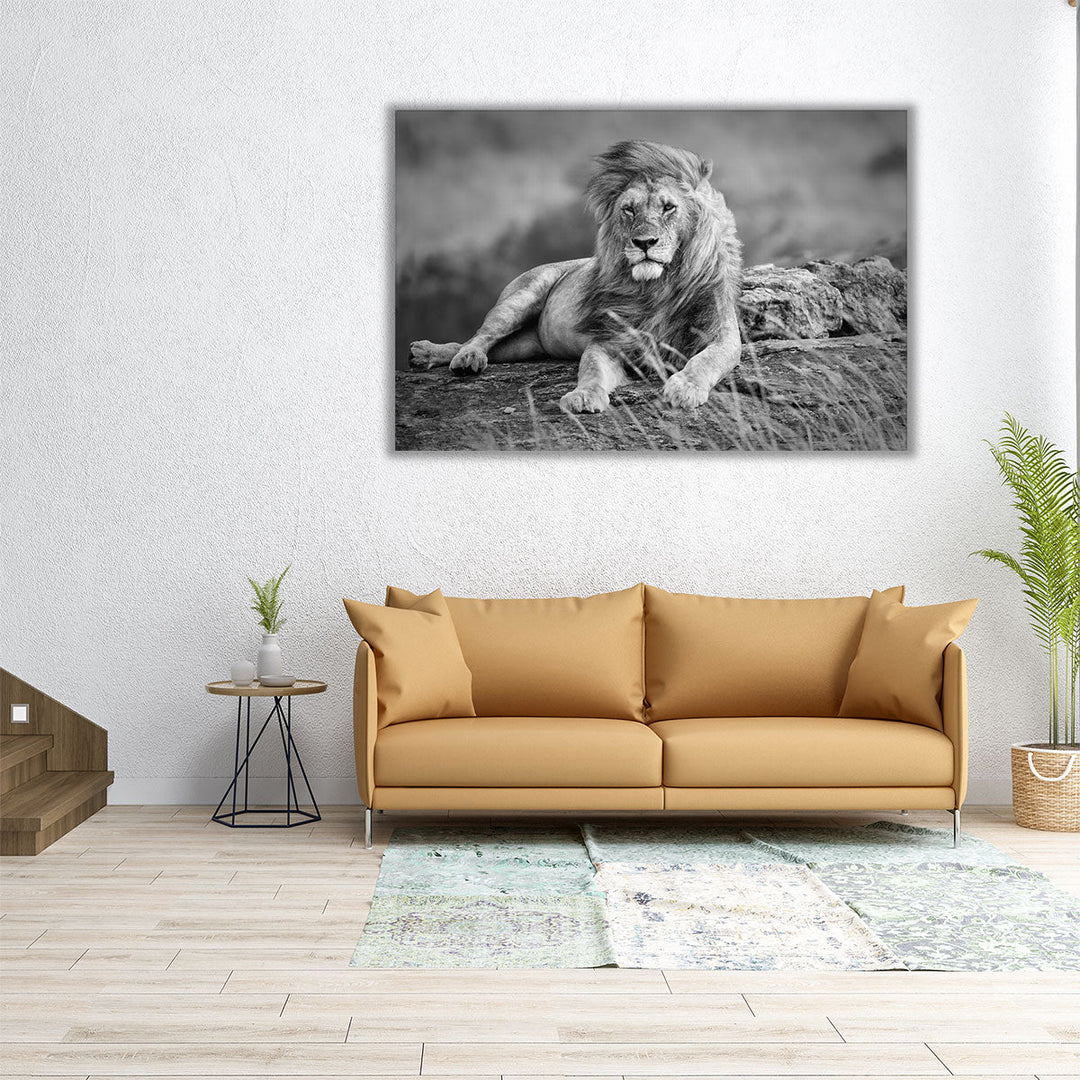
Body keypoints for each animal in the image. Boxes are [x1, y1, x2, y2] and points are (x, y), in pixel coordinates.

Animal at [408, 140, 743, 412]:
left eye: (669, 207)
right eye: (629, 210)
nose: (644, 242)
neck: (658, 286)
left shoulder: (722, 336)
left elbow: (705, 361)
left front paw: (685, 387)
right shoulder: (609, 340)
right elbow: (591, 368)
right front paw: (583, 396)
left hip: (523, 346)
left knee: (480, 345)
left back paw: (428, 354)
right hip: (520, 298)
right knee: (479, 336)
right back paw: (456, 357)